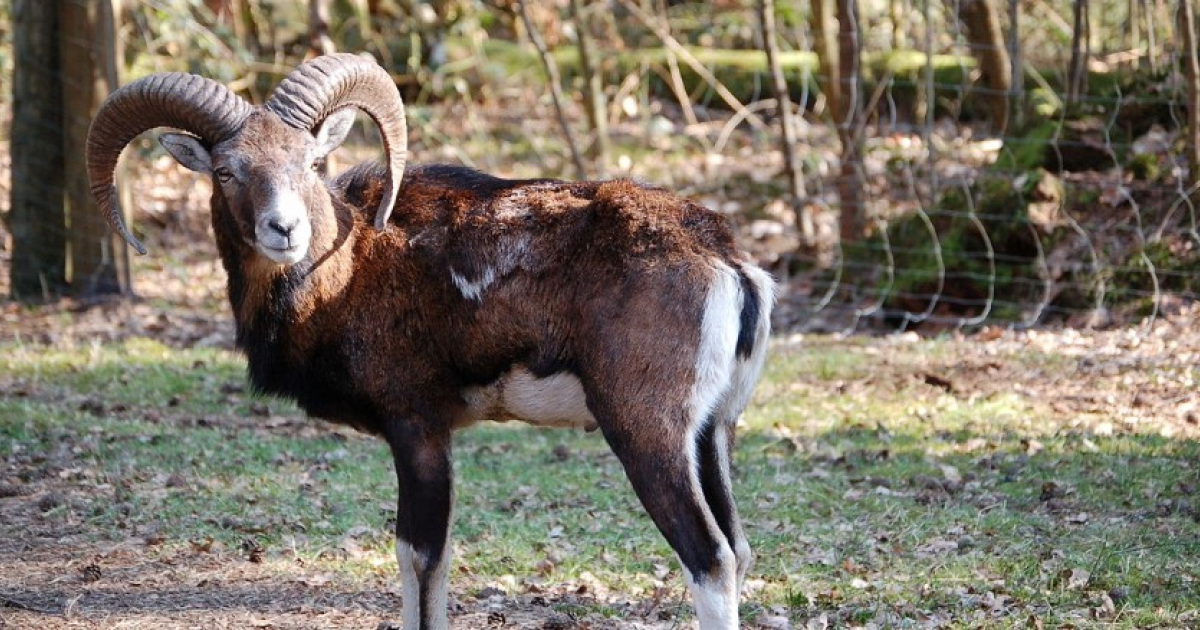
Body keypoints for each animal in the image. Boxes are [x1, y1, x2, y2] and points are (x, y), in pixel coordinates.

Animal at [87, 52, 777, 628]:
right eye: (228, 170)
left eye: (310, 163)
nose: (284, 229)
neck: (351, 265)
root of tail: (727, 263)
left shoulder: (417, 430)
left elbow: (419, 558)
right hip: (710, 435)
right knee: (738, 551)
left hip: (647, 434)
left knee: (709, 558)